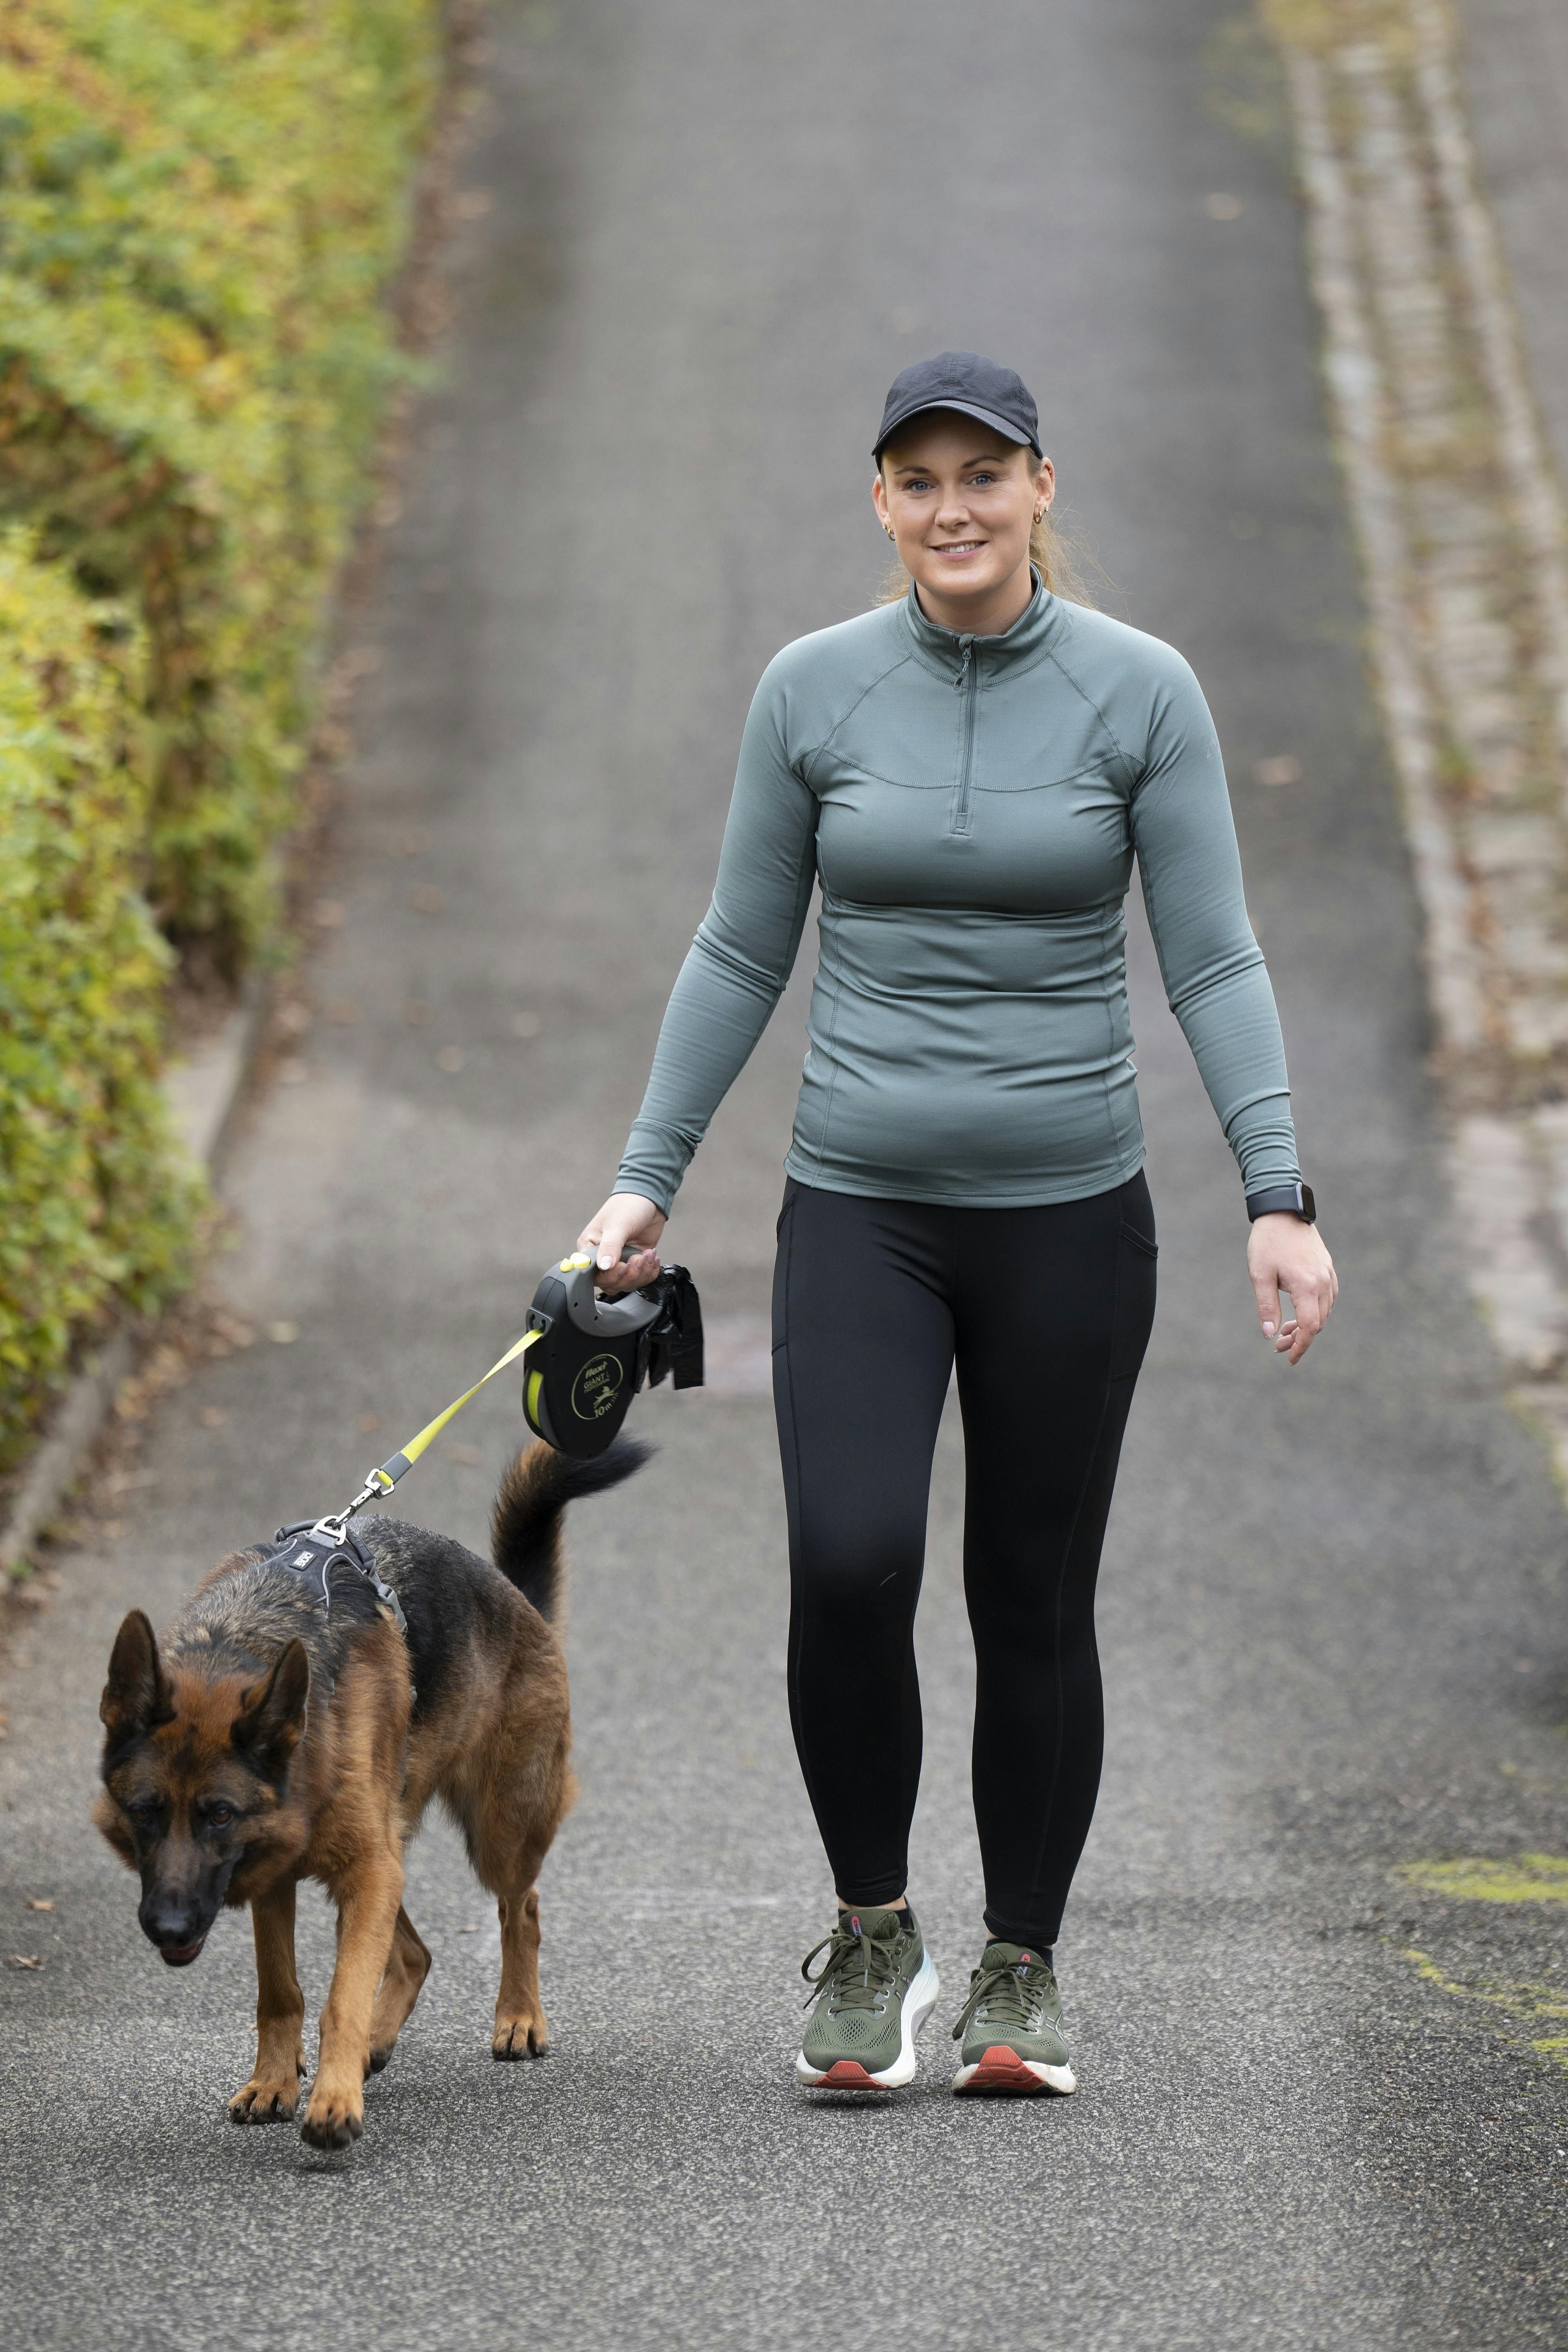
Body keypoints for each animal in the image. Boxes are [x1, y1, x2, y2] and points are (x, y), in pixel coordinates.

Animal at [95, 1430, 649, 2154]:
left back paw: (518, 2015)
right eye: (144, 1814)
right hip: (380, 1855)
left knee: (520, 1911)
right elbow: (281, 1993)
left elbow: (342, 1998)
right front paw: (276, 2081)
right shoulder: (279, 1875)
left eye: (219, 1816)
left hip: (494, 1836)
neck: (242, 1639)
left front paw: (333, 2100)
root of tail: (518, 1600)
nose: (169, 1927)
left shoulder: (362, 1871)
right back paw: (376, 2047)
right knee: (415, 1953)